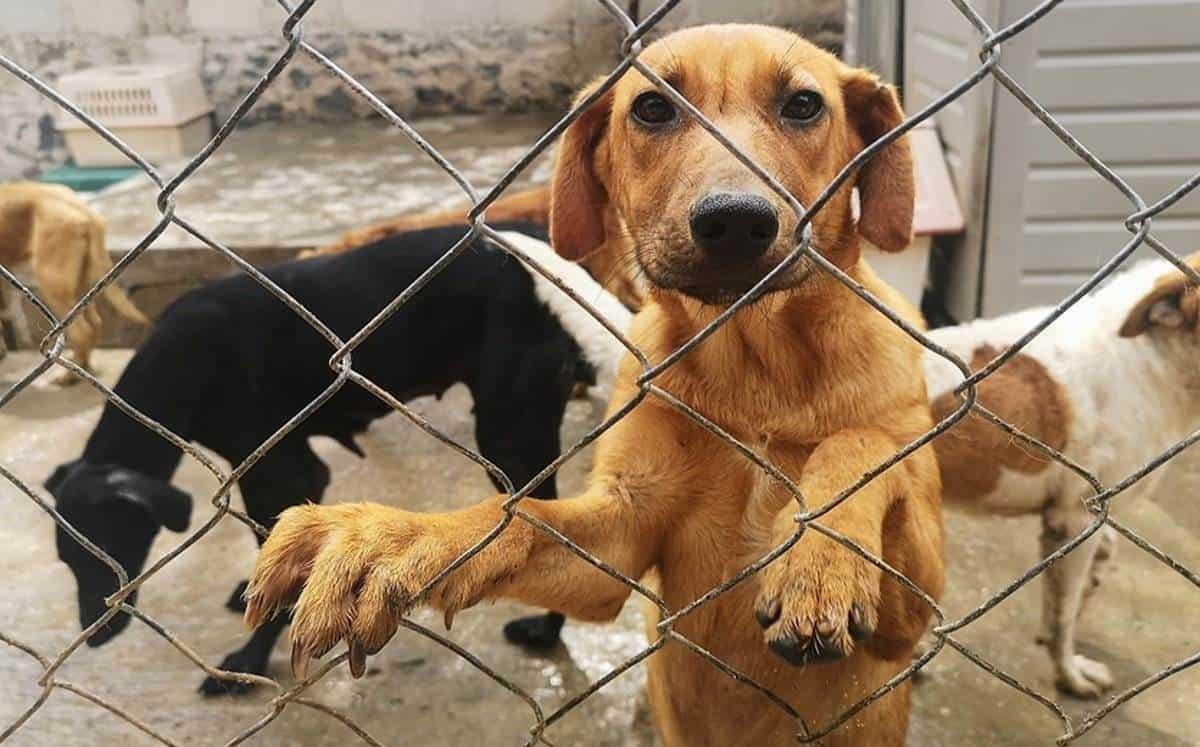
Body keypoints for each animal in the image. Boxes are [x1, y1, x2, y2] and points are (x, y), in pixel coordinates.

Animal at [0, 180, 146, 379]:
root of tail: (84, 210)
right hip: (80, 288)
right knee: (94, 325)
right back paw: (84, 367)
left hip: (52, 284)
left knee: (81, 332)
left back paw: (68, 376)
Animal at [46, 222, 628, 696]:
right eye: (68, 560)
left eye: (110, 547)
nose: (93, 635)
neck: (181, 361)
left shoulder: (279, 470)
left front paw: (248, 659)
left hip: (509, 435)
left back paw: (546, 629)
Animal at [243, 24, 940, 747]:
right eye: (652, 108)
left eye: (804, 105)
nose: (735, 222)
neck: (756, 372)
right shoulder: (618, 540)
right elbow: (514, 518)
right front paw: (391, 536)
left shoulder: (910, 613)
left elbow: (864, 443)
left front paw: (820, 560)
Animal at [921, 253, 1195, 701]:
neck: (1150, 353)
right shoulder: (1076, 518)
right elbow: (1066, 614)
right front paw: (1070, 674)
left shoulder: (1072, 518)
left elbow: (1078, 581)